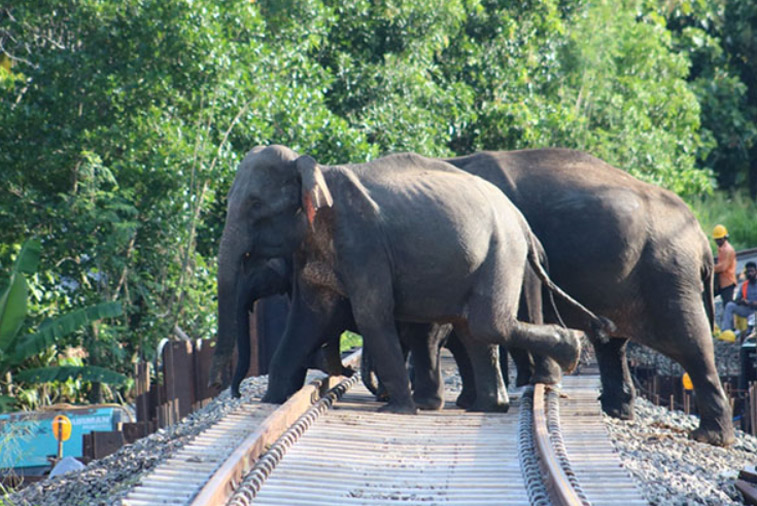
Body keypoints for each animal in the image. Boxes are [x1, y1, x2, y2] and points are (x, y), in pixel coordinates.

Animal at [214, 145, 612, 414]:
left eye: (255, 205)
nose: (230, 391)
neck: (316, 170)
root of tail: (522, 221)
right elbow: (308, 318)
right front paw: (274, 400)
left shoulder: (363, 242)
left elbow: (371, 314)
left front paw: (398, 409)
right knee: (474, 328)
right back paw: (489, 405)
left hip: (501, 251)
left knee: (488, 323)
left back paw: (568, 353)